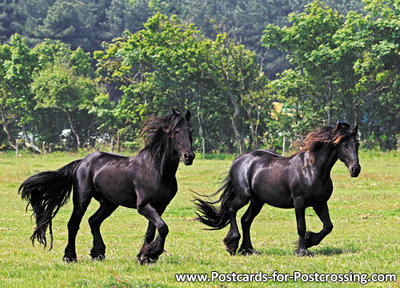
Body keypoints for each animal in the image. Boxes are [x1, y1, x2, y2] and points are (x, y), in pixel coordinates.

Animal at [20, 109, 195, 264]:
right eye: (176, 131)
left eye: (191, 130)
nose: (189, 157)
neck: (156, 170)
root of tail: (82, 162)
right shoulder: (144, 206)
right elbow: (163, 228)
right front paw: (151, 253)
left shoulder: (160, 206)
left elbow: (152, 232)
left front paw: (145, 256)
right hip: (82, 199)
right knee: (73, 224)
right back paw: (70, 257)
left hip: (109, 203)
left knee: (93, 221)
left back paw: (97, 253)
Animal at [195, 121, 360, 256]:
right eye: (344, 145)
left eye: (357, 144)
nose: (355, 169)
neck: (313, 170)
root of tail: (240, 159)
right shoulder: (299, 203)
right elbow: (301, 226)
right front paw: (303, 250)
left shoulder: (320, 203)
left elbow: (328, 226)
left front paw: (309, 241)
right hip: (243, 197)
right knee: (231, 210)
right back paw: (232, 244)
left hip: (257, 201)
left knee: (246, 220)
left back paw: (248, 249)